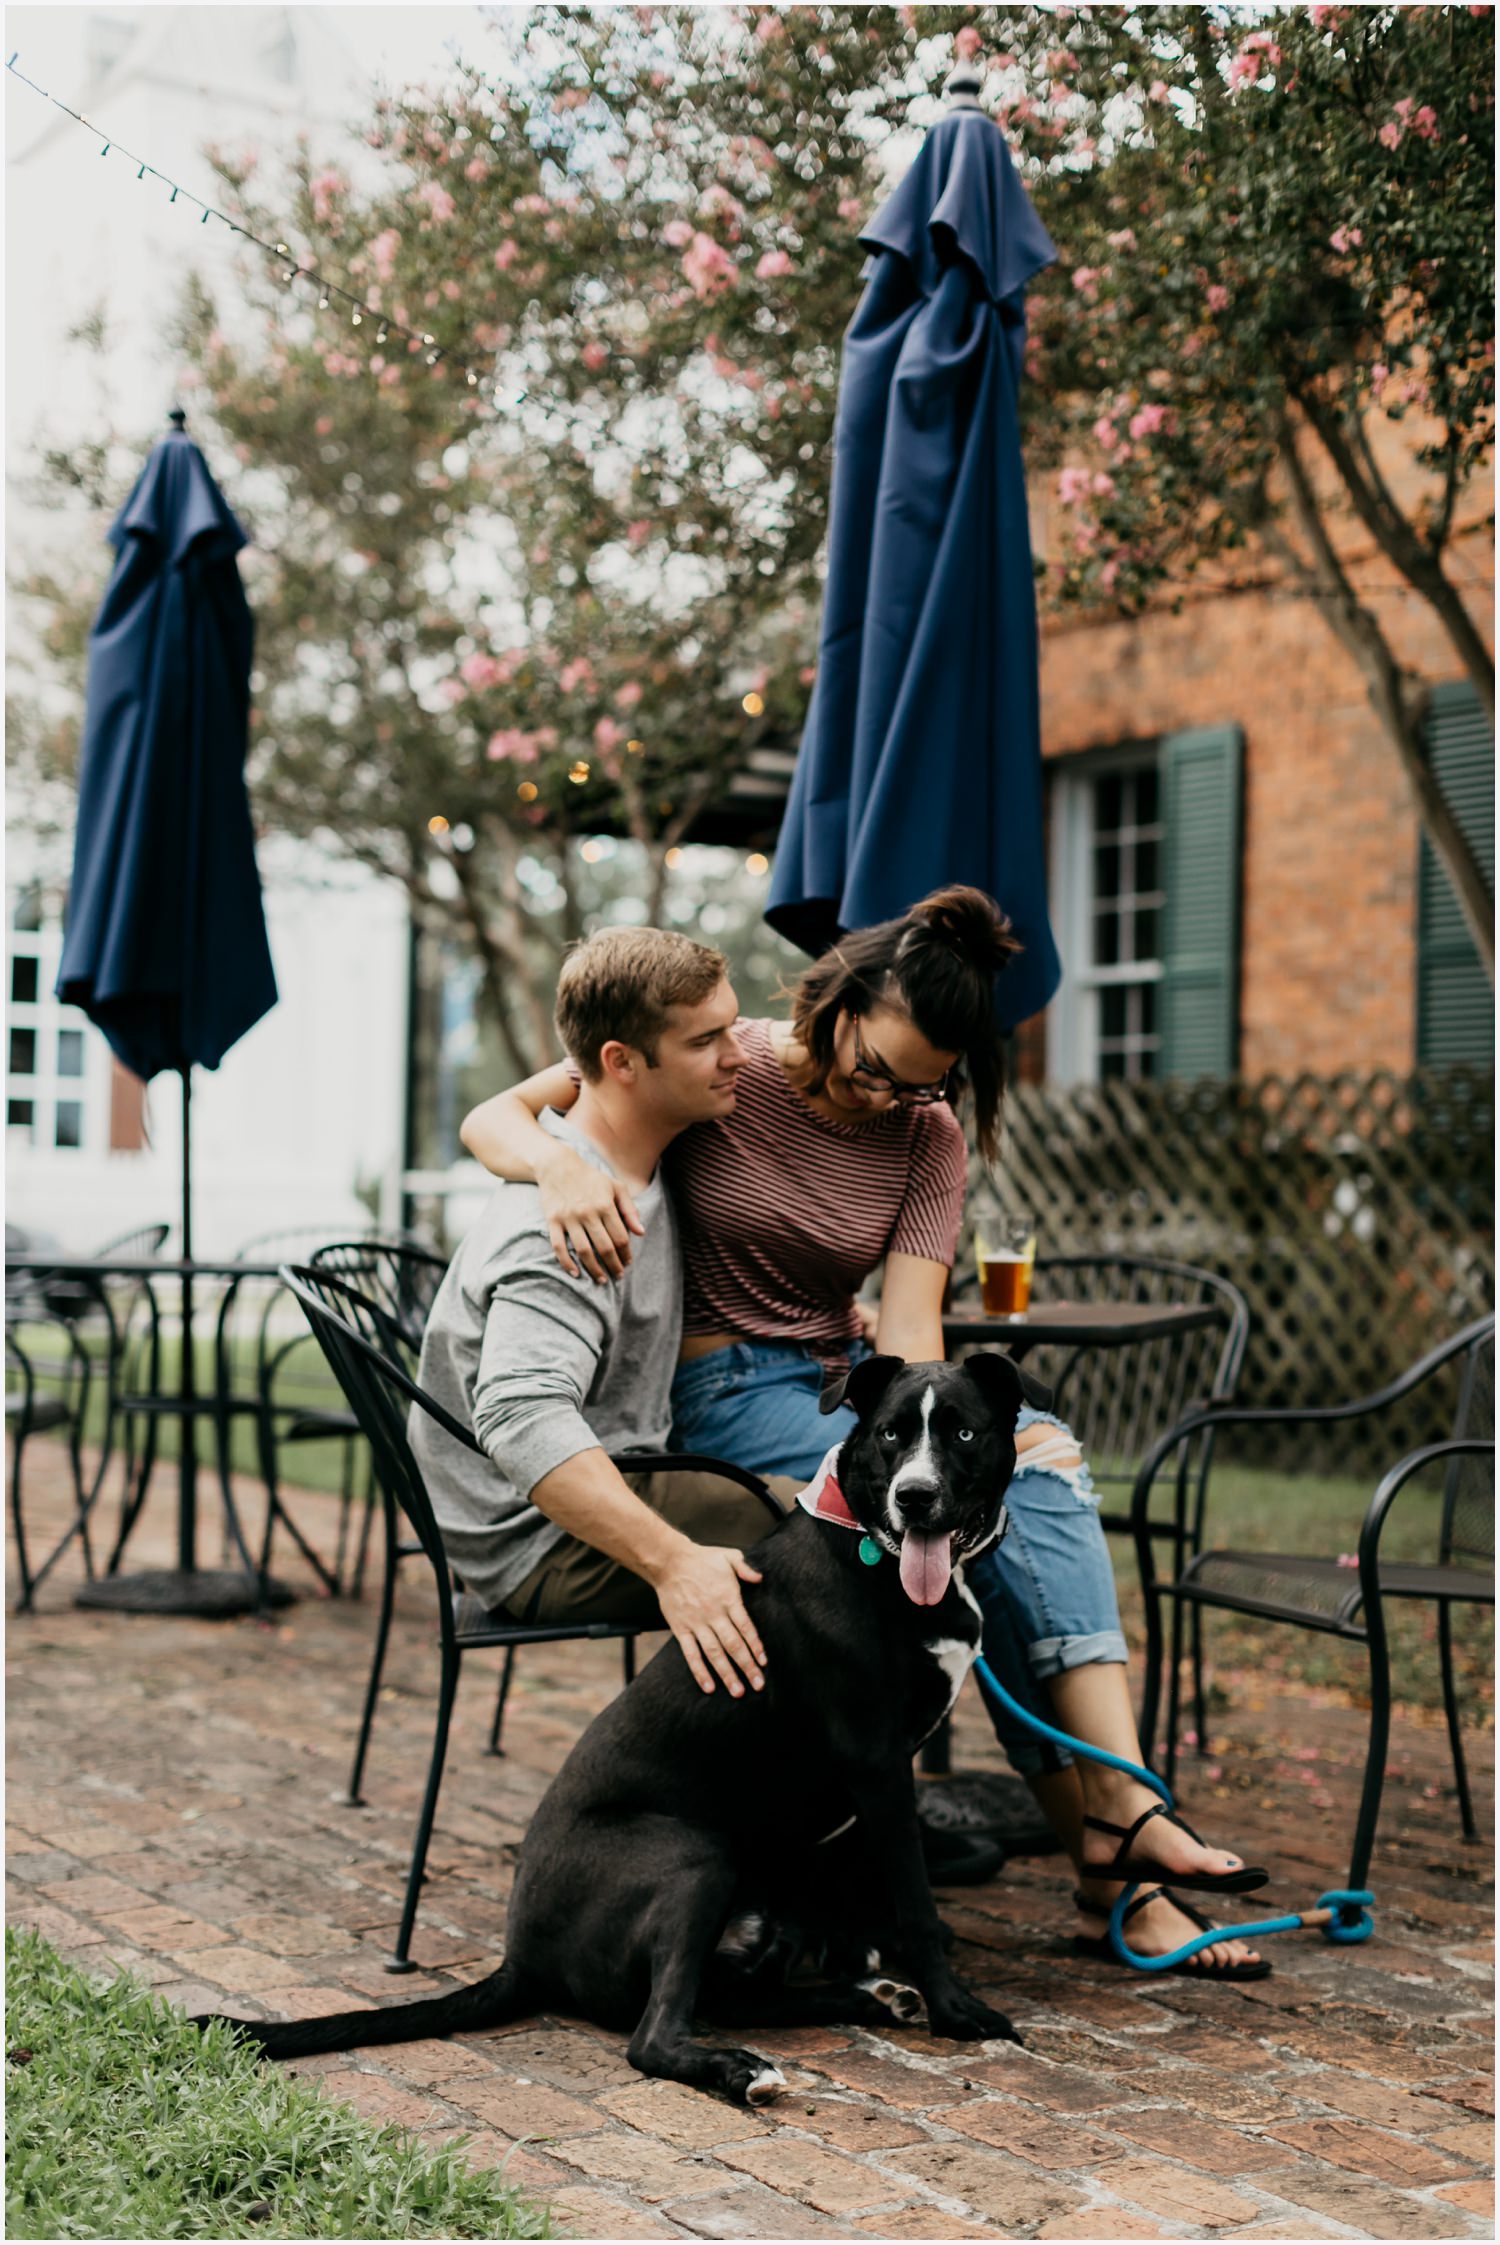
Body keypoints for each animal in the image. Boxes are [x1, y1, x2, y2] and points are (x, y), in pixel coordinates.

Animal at [193, 1346, 1050, 2101]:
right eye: (891, 1434)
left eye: (963, 1433)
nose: (914, 1496)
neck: (871, 1549)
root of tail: (521, 1956)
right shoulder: (876, 1763)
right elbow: (918, 1904)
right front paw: (956, 2010)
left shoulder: (864, 1798)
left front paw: (887, 1971)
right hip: (692, 1853)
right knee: (653, 2037)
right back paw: (744, 2069)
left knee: (734, 1995)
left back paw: (859, 1998)